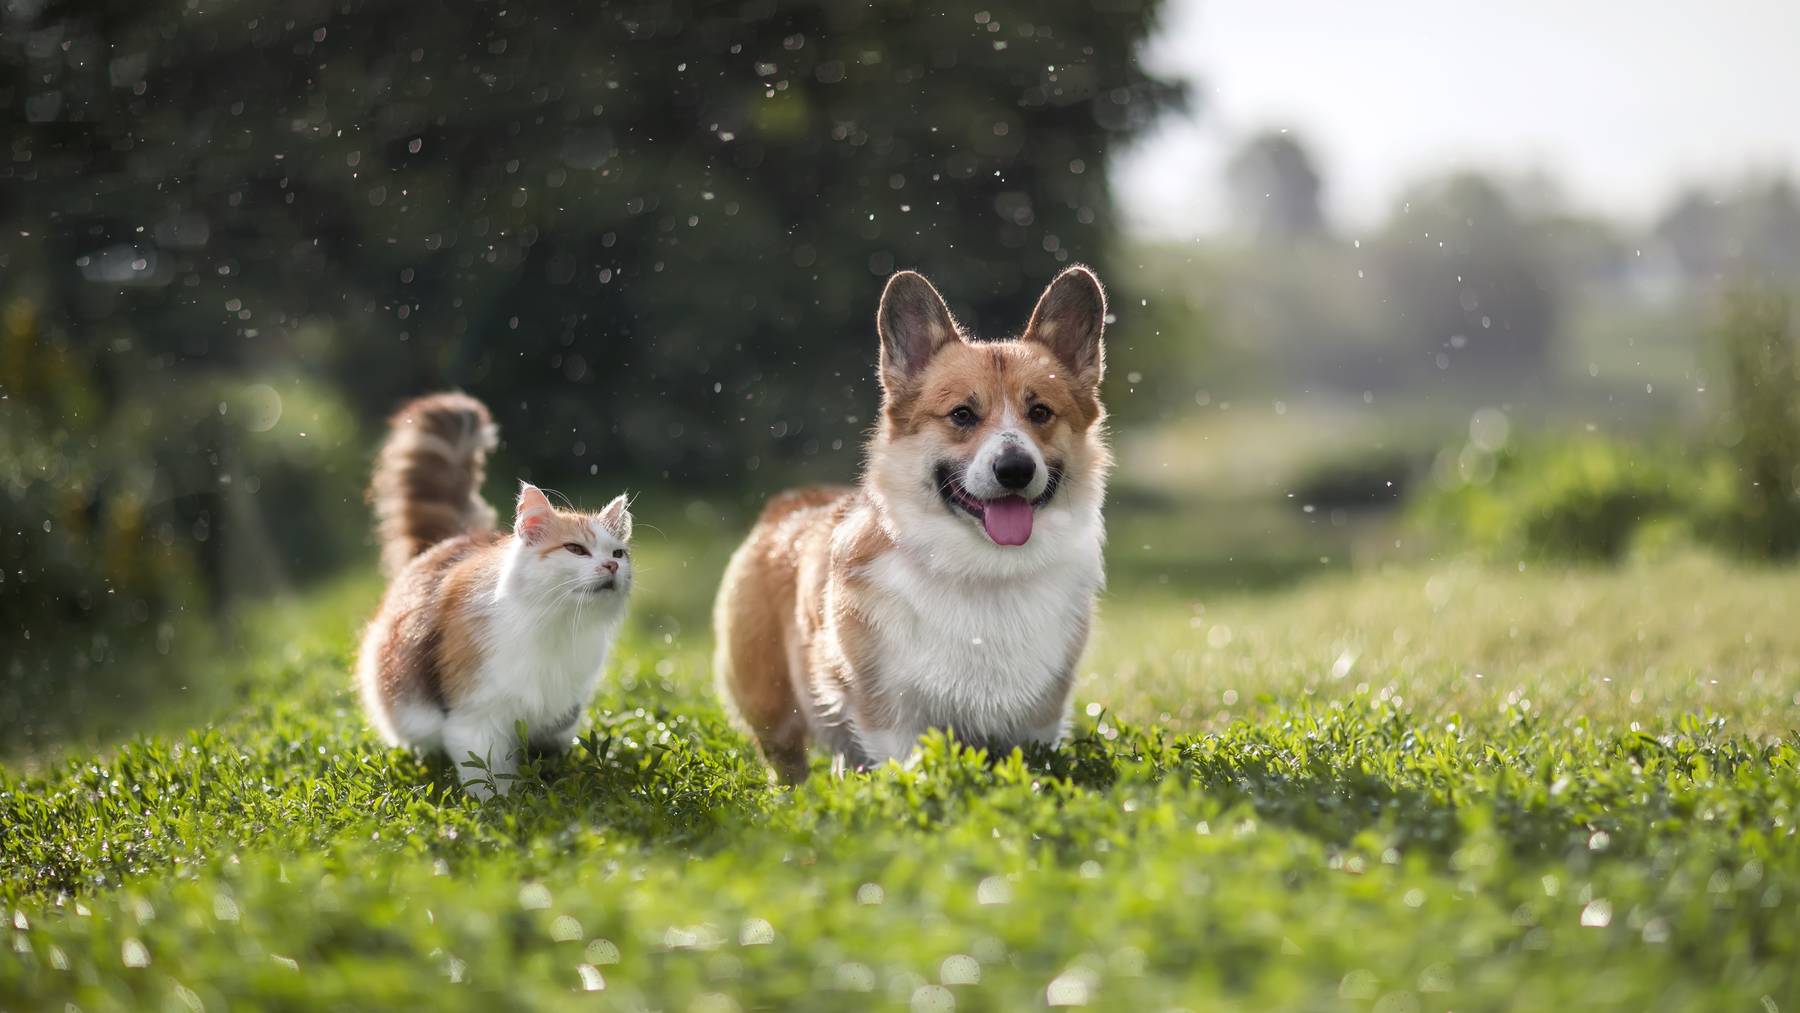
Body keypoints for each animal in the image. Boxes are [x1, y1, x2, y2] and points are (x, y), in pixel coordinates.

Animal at [352, 395, 633, 802]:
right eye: (576, 550)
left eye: (619, 553)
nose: (611, 566)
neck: (557, 624)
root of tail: (452, 540)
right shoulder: (475, 715)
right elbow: (489, 776)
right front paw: (503, 806)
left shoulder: (562, 707)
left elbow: (548, 748)